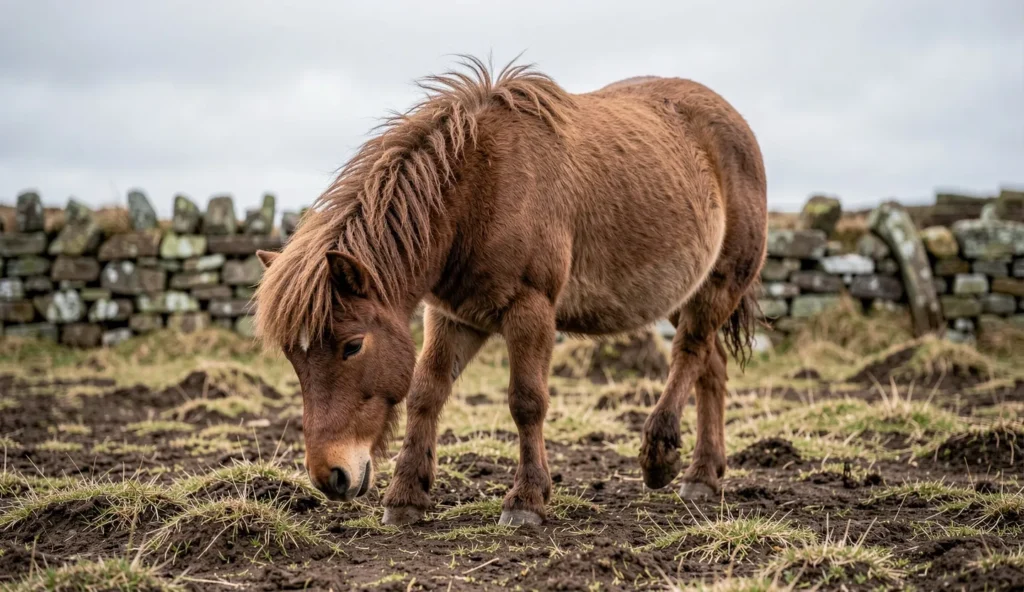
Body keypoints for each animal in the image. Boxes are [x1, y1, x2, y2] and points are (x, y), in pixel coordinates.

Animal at [252, 57, 767, 527]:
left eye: (352, 345)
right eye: (294, 358)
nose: (330, 476)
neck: (480, 189)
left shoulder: (530, 309)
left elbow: (526, 401)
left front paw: (527, 500)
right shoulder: (451, 315)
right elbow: (425, 393)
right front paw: (406, 497)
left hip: (717, 286)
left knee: (689, 354)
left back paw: (661, 458)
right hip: (685, 293)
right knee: (711, 367)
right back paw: (704, 473)